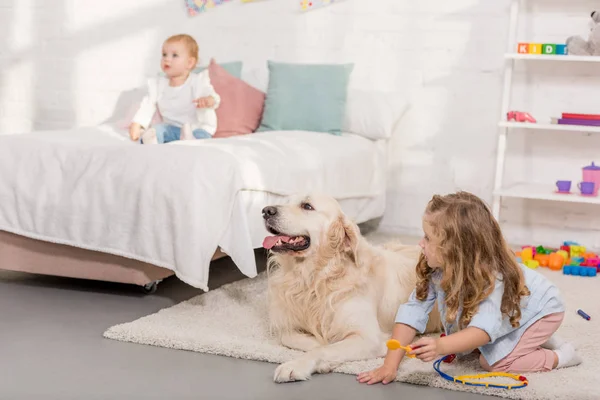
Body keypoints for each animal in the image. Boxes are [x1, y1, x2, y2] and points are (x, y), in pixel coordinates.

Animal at [262, 195, 440, 382]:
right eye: (285, 201)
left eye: (307, 206)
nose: (266, 211)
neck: (318, 276)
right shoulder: (290, 325)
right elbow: (291, 338)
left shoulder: (368, 338)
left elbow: (323, 348)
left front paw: (295, 365)